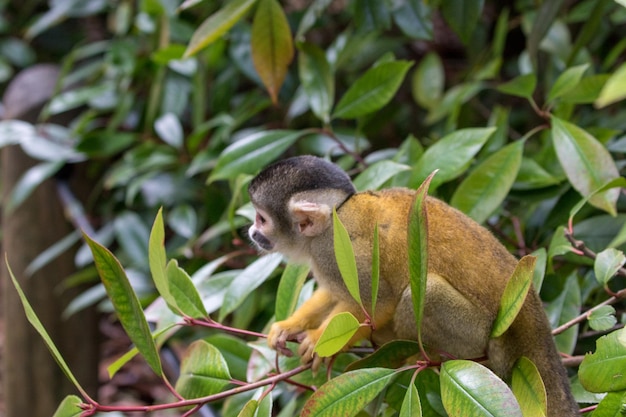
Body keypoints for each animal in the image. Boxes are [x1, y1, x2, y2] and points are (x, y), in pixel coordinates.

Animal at [246, 154, 576, 414]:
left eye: (261, 219)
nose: (251, 232)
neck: (336, 216)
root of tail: (530, 313)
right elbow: (333, 293)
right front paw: (289, 326)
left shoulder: (338, 249)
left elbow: (376, 304)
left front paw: (318, 340)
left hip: (478, 332)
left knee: (424, 293)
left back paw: (417, 353)